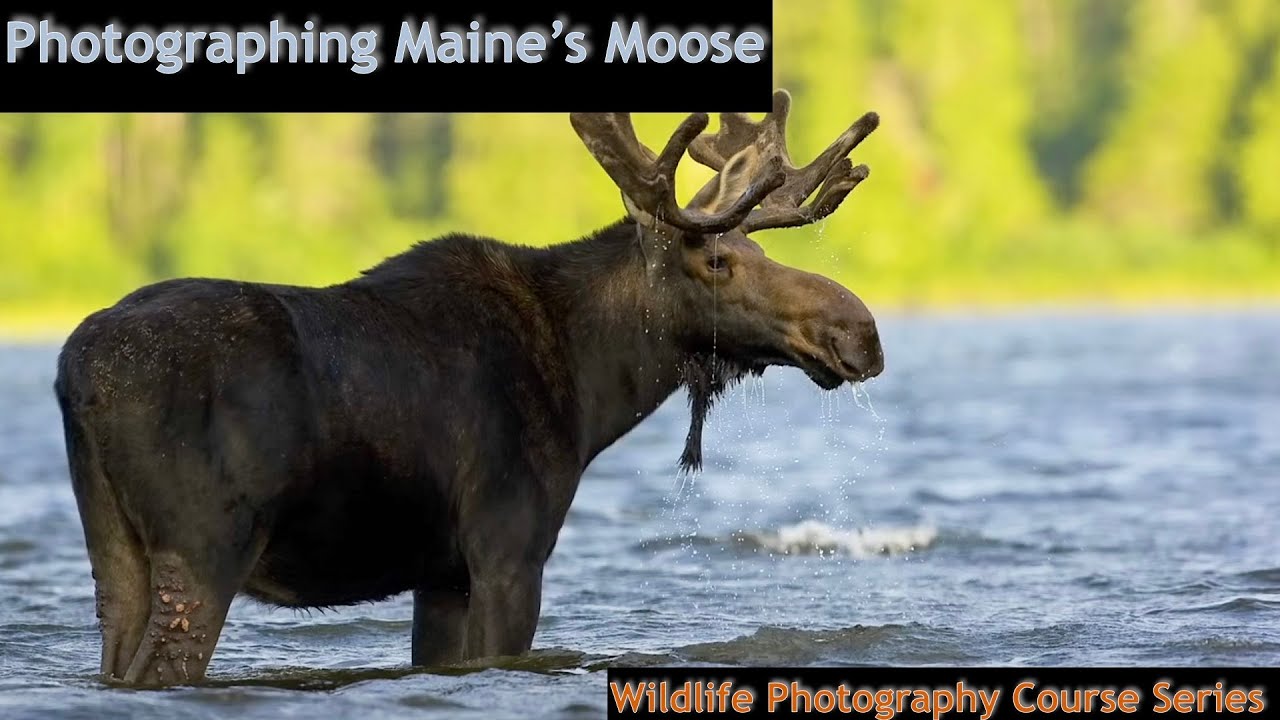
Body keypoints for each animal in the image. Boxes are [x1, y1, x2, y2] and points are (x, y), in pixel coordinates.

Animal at [54, 90, 883, 686]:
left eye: (755, 251)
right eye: (717, 261)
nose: (861, 331)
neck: (591, 391)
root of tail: (77, 373)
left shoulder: (442, 573)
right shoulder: (508, 551)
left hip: (115, 552)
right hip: (205, 548)